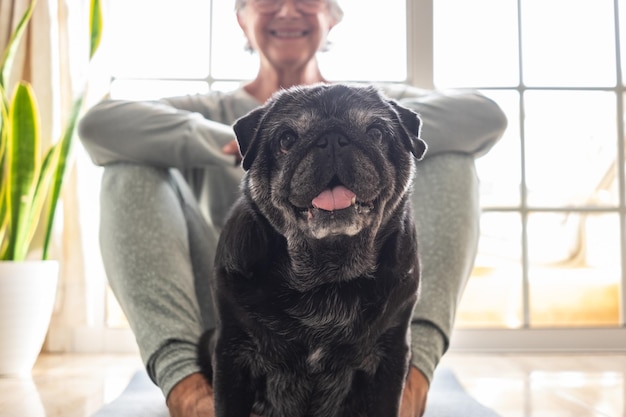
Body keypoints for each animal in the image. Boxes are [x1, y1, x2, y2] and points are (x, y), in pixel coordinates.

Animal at [197, 82, 426, 416]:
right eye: (286, 140)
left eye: (376, 133)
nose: (332, 139)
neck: (327, 275)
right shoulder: (231, 354)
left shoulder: (390, 358)